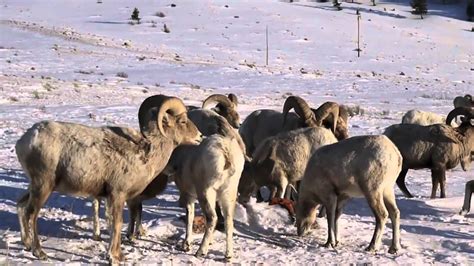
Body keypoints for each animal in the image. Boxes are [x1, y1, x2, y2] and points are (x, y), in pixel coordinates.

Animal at [14, 95, 200, 264]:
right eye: (183, 121)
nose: (200, 136)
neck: (144, 154)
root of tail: (24, 141)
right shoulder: (117, 195)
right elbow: (117, 223)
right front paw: (115, 257)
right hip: (43, 186)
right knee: (32, 213)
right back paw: (39, 253)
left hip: (34, 186)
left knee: (21, 206)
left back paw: (27, 244)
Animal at [164, 119, 246, 260]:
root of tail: (225, 151)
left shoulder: (189, 196)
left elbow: (190, 217)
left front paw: (186, 245)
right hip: (228, 194)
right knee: (228, 221)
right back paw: (228, 255)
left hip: (206, 192)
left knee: (212, 218)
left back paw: (200, 252)